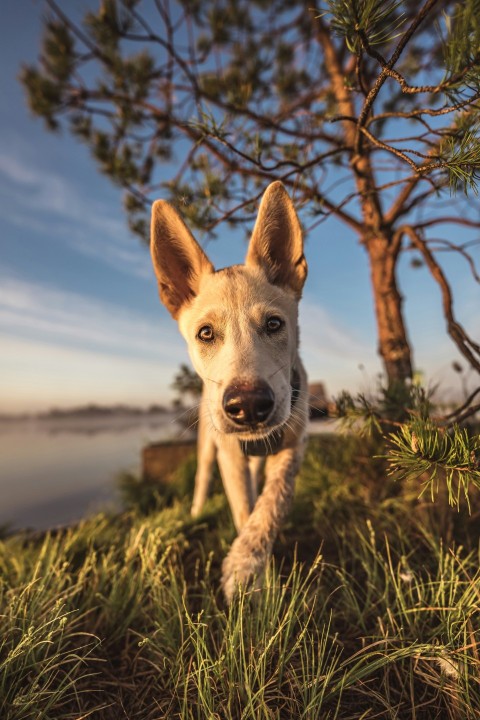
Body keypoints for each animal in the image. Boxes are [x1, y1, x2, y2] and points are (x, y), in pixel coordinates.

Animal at [150, 181, 308, 600]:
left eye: (274, 324)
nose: (249, 406)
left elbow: (274, 500)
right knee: (203, 480)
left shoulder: (294, 444)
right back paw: (195, 512)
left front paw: (247, 559)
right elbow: (242, 507)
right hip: (208, 445)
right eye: (206, 333)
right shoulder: (229, 455)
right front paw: (252, 573)